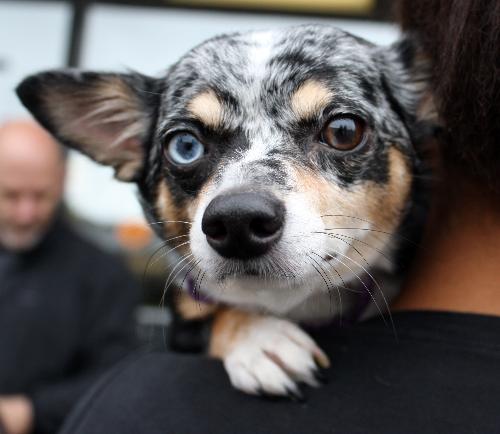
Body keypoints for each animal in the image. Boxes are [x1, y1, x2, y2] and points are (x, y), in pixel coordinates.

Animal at [17, 22, 436, 396]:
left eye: (344, 131)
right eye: (185, 146)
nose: (237, 220)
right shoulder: (184, 318)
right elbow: (216, 313)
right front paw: (257, 339)